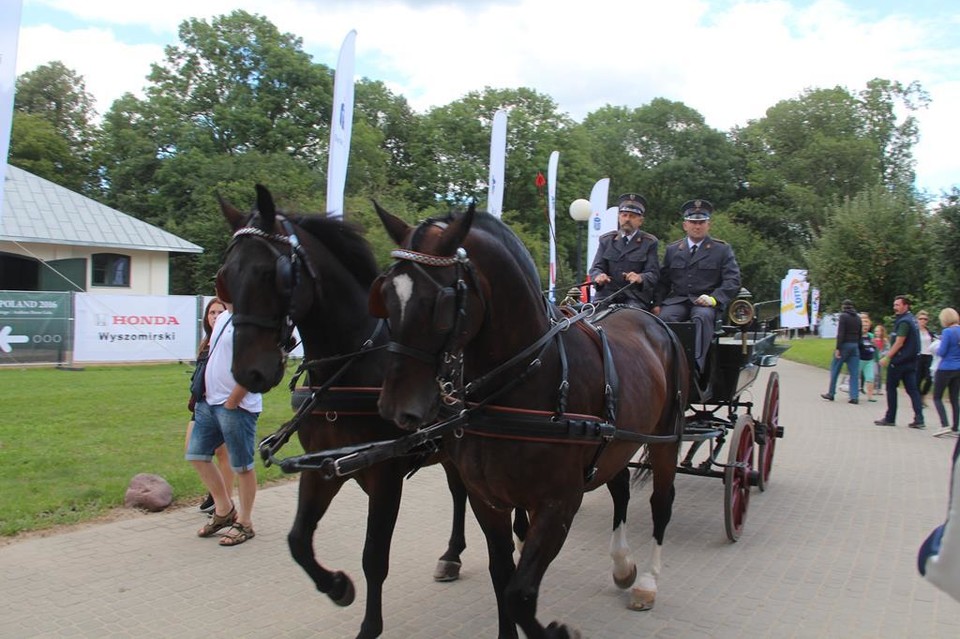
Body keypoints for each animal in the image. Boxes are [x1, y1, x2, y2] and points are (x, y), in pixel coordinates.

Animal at [215, 186, 476, 639]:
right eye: (227, 276)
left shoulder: (386, 473)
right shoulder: (324, 466)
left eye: (273, 274)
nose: (248, 372)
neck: (352, 365)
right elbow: (298, 539)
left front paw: (369, 624)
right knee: (458, 491)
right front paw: (337, 586)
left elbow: (374, 556)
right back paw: (452, 555)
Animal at [370, 205, 688, 639]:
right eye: (386, 294)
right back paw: (623, 564)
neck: (527, 378)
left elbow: (520, 594)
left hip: (665, 441)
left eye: (442, 302)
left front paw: (557, 632)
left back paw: (647, 583)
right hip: (616, 441)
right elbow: (502, 578)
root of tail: (649, 319)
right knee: (620, 488)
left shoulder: (558, 504)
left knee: (661, 503)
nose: (395, 407)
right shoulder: (487, 500)